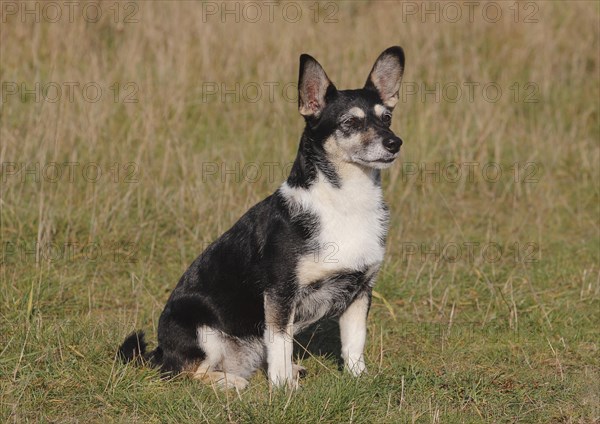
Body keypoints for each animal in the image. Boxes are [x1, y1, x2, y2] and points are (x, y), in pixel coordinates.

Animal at [119, 46, 406, 390]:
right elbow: (281, 344)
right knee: (187, 372)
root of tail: (160, 351)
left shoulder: (359, 291)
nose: (394, 143)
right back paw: (231, 382)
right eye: (350, 122)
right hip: (202, 331)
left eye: (387, 118)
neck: (344, 203)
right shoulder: (280, 294)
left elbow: (354, 343)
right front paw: (283, 388)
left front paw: (357, 377)